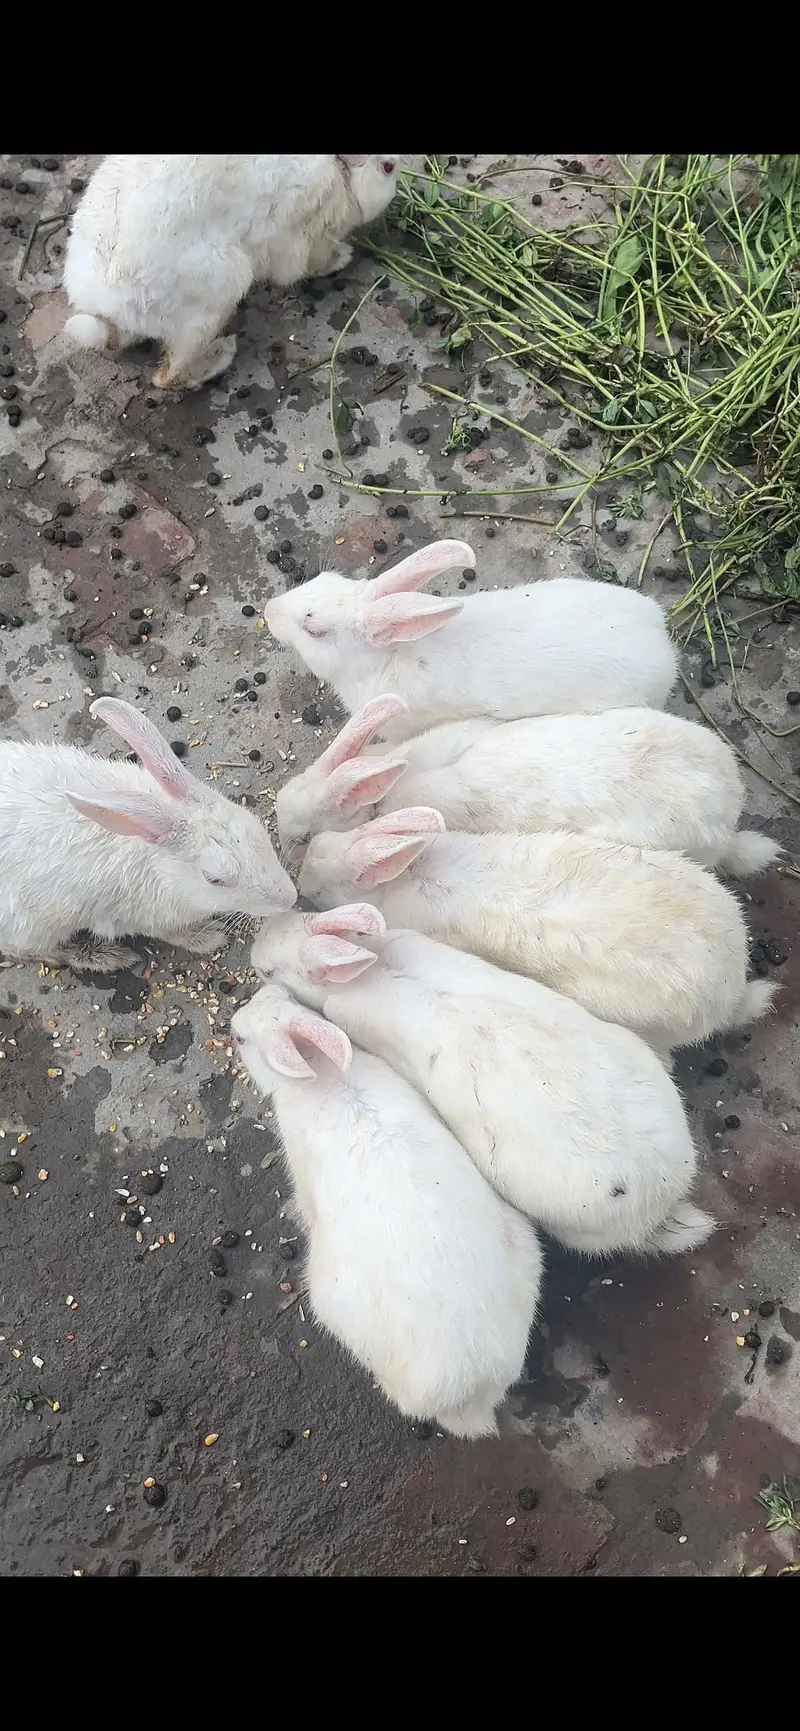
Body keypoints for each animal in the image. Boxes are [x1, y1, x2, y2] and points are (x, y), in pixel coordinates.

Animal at [0, 697, 296, 972]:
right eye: (214, 879)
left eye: (258, 830)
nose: (290, 898)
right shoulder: (141, 918)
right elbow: (173, 933)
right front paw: (209, 938)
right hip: (36, 926)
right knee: (32, 951)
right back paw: (106, 957)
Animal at [63, 155, 399, 389]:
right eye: (388, 167)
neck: (338, 172)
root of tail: (108, 309)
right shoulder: (301, 237)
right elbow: (309, 262)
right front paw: (341, 258)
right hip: (215, 297)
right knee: (169, 376)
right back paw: (222, 354)